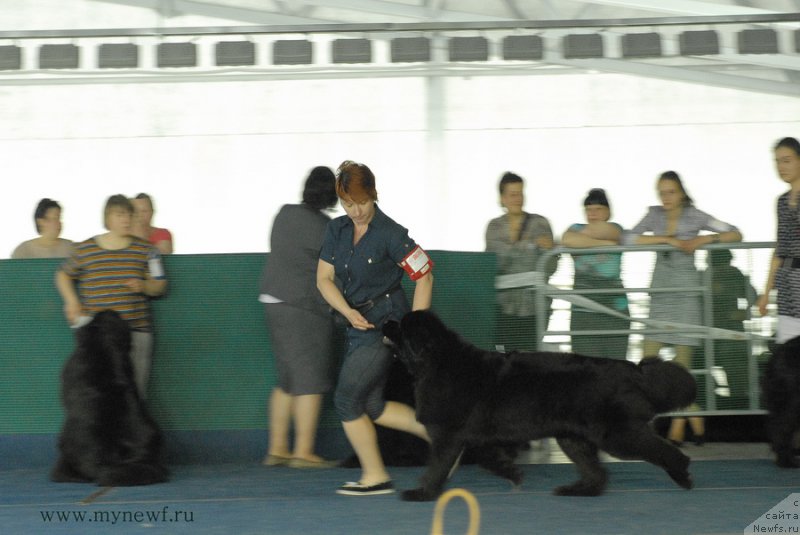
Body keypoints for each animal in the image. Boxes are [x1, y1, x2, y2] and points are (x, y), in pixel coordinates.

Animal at [382, 310, 692, 502]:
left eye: (402, 326)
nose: (386, 321)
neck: (436, 362)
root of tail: (633, 369)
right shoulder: (477, 438)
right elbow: (488, 460)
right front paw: (513, 474)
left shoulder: (448, 436)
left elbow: (436, 467)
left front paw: (422, 493)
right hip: (573, 438)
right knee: (597, 472)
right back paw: (578, 490)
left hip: (616, 435)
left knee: (662, 451)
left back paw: (683, 475)